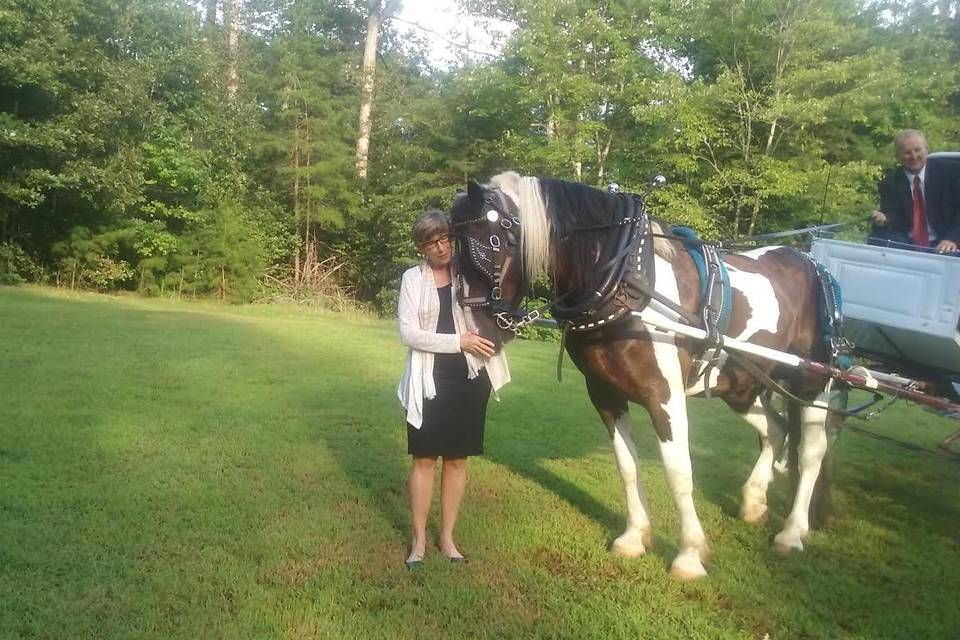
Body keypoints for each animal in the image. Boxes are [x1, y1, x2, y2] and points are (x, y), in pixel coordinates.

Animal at [450, 170, 840, 580]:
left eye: (493, 243)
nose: (478, 335)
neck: (626, 283)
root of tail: (813, 264)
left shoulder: (663, 395)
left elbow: (678, 472)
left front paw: (689, 554)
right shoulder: (604, 393)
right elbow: (627, 466)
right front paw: (634, 537)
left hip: (812, 382)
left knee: (811, 452)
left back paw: (792, 532)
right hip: (741, 385)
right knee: (776, 429)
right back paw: (754, 502)